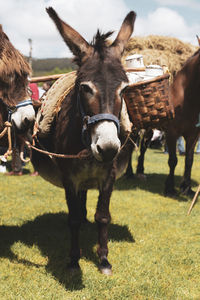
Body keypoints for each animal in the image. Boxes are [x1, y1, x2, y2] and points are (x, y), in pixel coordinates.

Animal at [31, 7, 136, 274]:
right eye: (85, 88)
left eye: (124, 89)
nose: (107, 148)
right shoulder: (69, 177)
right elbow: (74, 218)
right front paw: (73, 260)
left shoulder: (108, 175)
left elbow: (103, 216)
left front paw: (104, 259)